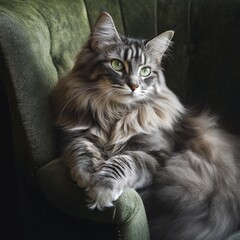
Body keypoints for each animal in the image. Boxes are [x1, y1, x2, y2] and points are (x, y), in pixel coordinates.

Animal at [52, 11, 240, 240]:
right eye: (117, 65)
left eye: (145, 71)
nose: (134, 85)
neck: (114, 112)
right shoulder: (73, 135)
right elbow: (81, 150)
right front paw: (87, 175)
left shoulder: (154, 155)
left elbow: (123, 163)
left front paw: (101, 188)